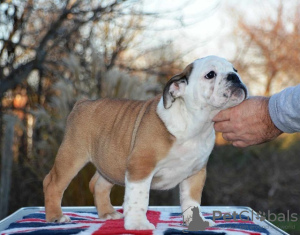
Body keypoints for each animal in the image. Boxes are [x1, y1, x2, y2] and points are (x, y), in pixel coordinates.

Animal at [43, 55, 247, 229]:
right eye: (210, 74)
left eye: (235, 70)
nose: (235, 77)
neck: (195, 123)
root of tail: (84, 103)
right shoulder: (141, 167)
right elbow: (139, 199)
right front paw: (137, 224)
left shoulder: (195, 174)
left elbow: (192, 201)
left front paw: (194, 221)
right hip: (72, 155)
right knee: (52, 183)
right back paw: (56, 216)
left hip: (110, 163)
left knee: (97, 184)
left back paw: (108, 213)